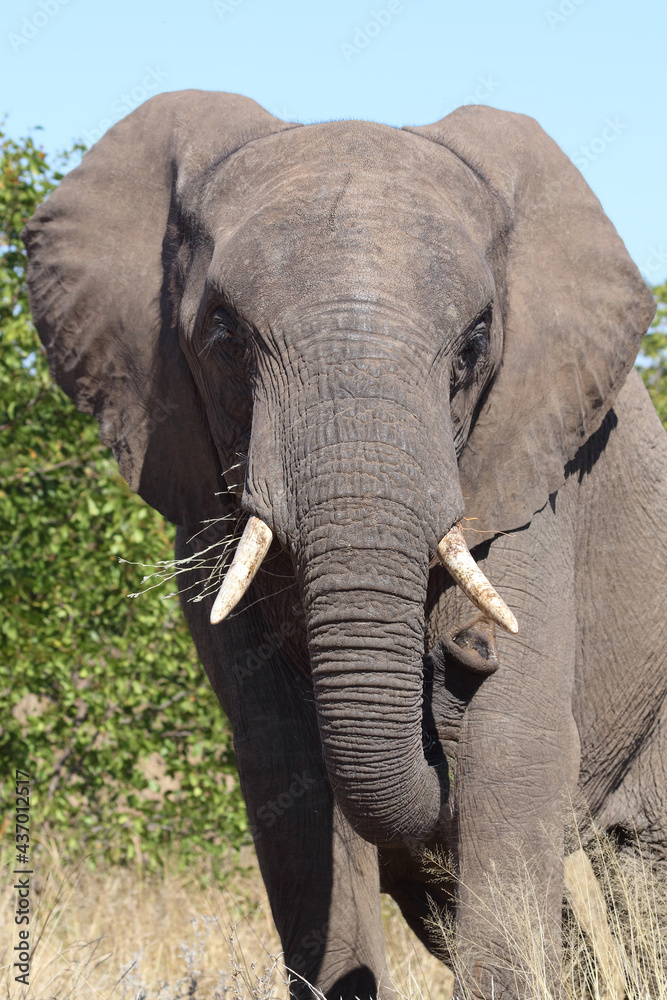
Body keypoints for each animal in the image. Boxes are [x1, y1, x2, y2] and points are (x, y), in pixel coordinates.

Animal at [23, 90, 667, 999]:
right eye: (224, 337)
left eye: (473, 348)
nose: (466, 651)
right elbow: (289, 775)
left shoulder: (531, 480)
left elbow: (515, 747)